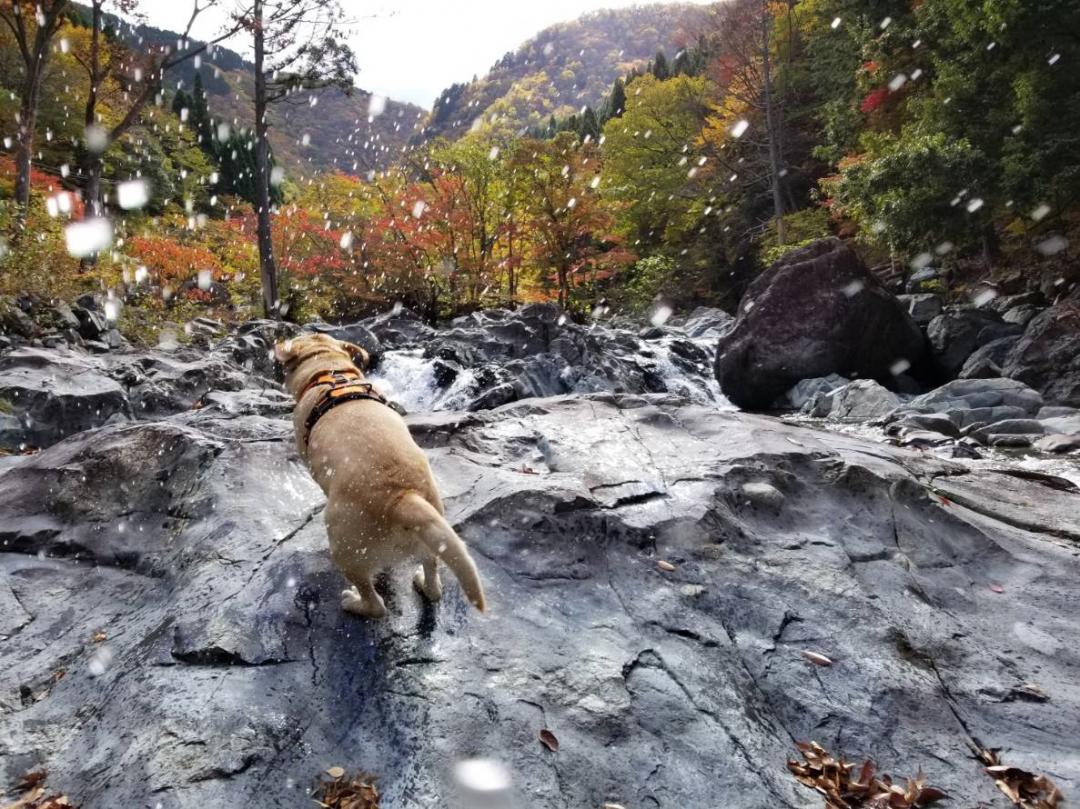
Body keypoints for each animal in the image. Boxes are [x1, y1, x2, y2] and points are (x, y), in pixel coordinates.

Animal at [276, 330, 488, 613]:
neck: (329, 370)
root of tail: (403, 498)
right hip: (433, 535)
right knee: (432, 578)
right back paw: (425, 583)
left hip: (345, 548)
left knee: (376, 604)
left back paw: (355, 602)